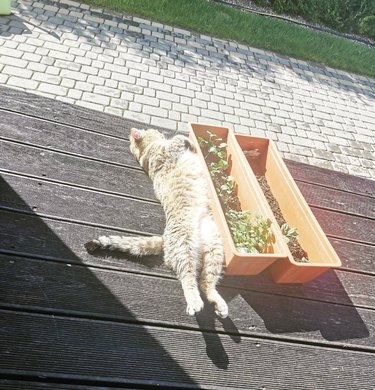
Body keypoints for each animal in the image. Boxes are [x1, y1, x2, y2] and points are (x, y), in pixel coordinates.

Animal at [85, 129, 228, 318]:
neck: (145, 154)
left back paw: (219, 304)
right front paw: (188, 140)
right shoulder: (166, 151)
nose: (158, 131)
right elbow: (177, 139)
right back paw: (194, 303)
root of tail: (165, 239)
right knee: (189, 279)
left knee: (206, 283)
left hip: (214, 248)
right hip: (185, 249)